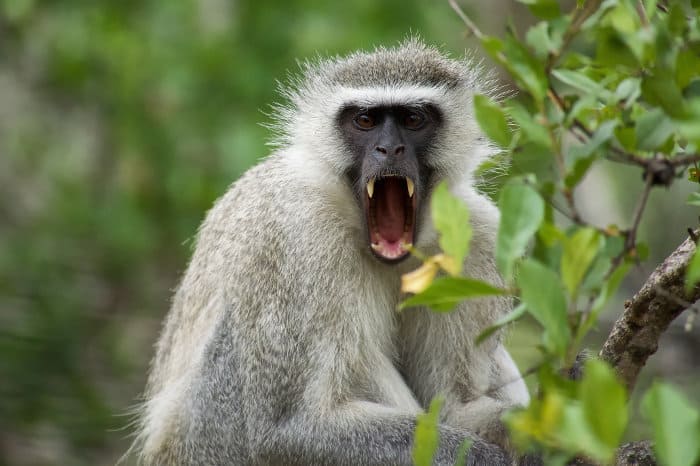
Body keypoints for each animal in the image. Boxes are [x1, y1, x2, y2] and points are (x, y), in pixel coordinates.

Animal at [134, 40, 532, 466]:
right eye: (365, 121)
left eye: (412, 119)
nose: (389, 149)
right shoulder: (300, 235)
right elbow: (290, 429)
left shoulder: (478, 237)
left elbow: (457, 406)